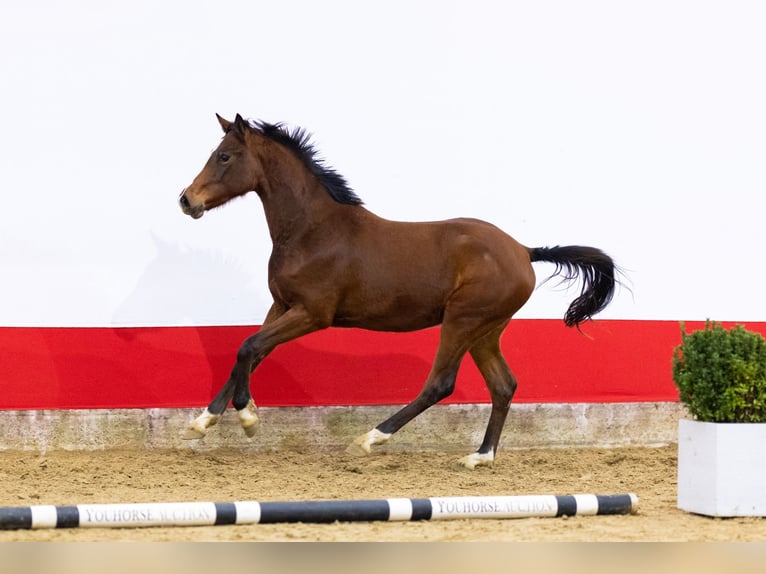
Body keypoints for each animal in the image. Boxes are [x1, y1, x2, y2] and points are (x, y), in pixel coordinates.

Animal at [178, 114, 620, 469]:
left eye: (224, 156)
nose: (186, 200)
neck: (312, 231)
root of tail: (524, 251)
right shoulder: (282, 306)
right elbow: (251, 352)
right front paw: (202, 423)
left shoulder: (312, 313)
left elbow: (248, 347)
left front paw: (247, 418)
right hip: (486, 331)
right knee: (503, 385)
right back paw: (480, 457)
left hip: (462, 320)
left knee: (441, 383)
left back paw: (370, 439)